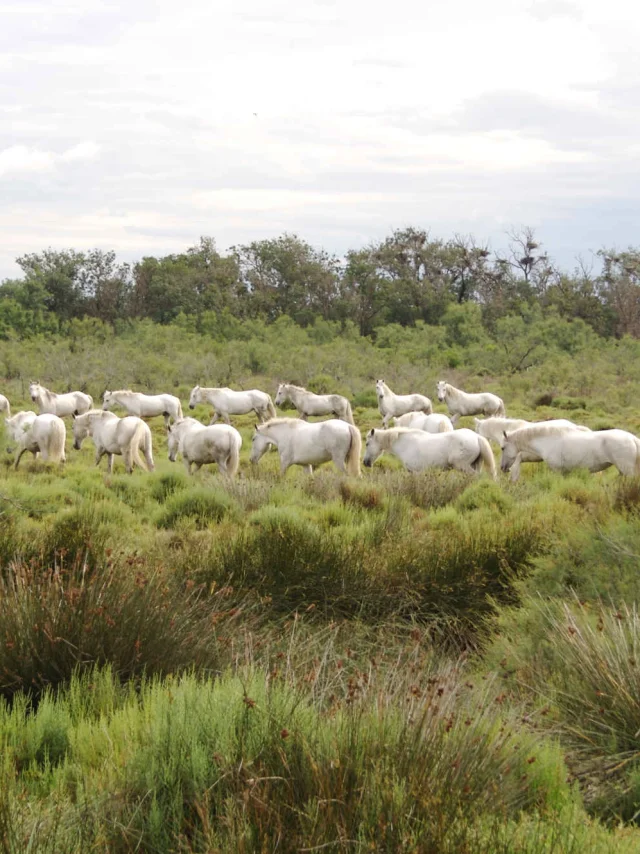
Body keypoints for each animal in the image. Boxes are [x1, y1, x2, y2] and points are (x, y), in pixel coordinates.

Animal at [363, 427, 497, 478]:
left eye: (367, 444)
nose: (365, 462)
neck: (406, 444)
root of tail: (477, 437)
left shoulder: (416, 472)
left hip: (463, 466)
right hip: (475, 465)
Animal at [501, 424, 640, 482]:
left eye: (502, 448)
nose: (503, 468)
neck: (549, 441)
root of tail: (632, 438)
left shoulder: (557, 471)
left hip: (627, 472)